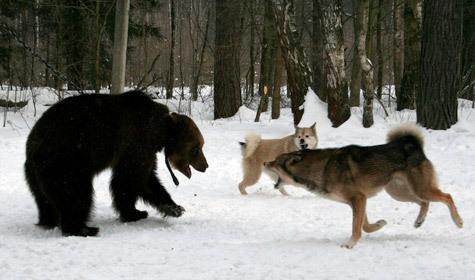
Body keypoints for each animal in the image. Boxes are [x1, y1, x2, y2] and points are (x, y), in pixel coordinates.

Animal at [268, 126, 464, 248]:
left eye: (275, 161)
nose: (264, 162)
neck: (320, 167)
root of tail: (412, 145)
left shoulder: (358, 199)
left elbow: (357, 227)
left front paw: (350, 243)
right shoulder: (359, 201)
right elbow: (365, 226)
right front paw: (379, 224)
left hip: (420, 188)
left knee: (446, 196)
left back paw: (458, 221)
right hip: (398, 192)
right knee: (424, 202)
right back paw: (419, 221)